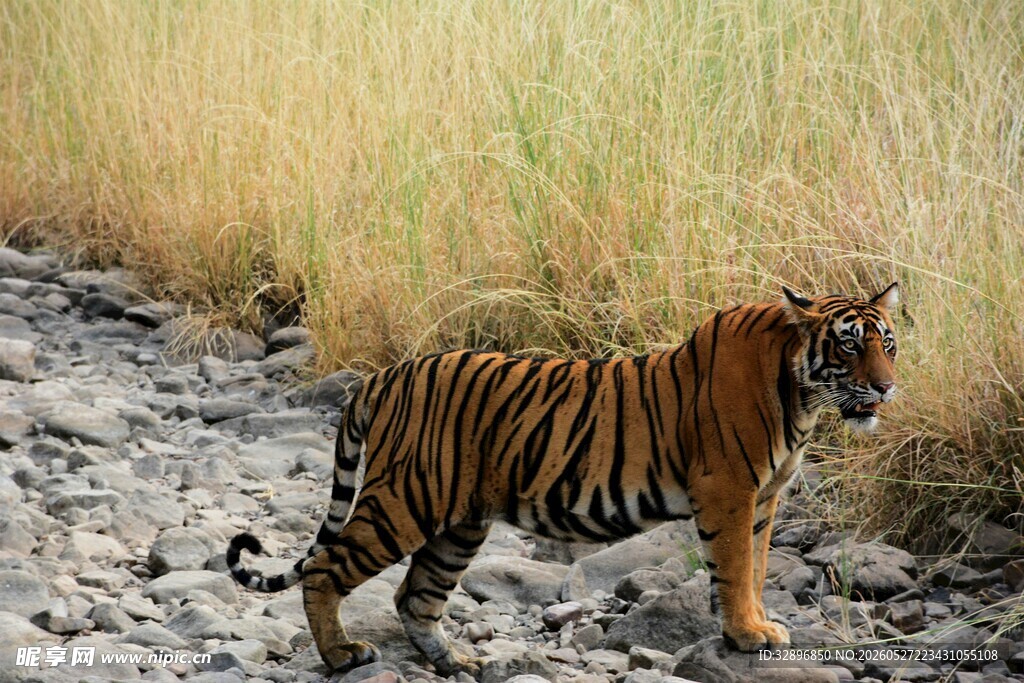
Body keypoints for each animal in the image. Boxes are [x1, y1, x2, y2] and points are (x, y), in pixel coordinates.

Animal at [227, 283, 900, 677]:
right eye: (848, 346)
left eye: (887, 344)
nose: (888, 387)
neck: (801, 394)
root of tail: (383, 376)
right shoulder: (730, 491)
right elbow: (734, 569)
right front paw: (746, 635)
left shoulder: (765, 497)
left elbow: (757, 567)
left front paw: (759, 626)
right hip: (405, 499)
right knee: (324, 568)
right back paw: (342, 655)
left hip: (458, 525)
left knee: (414, 597)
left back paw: (459, 662)